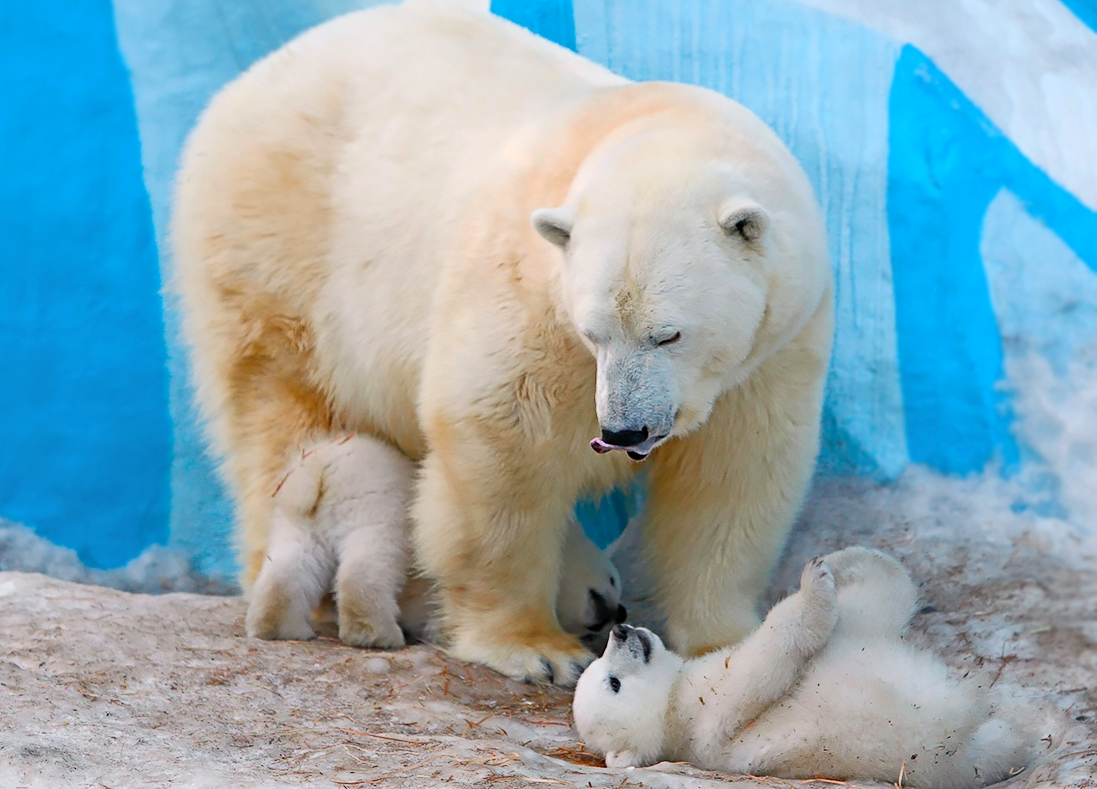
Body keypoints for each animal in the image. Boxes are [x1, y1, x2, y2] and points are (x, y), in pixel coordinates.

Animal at [177, 1, 829, 684]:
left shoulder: (775, 344)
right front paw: (536, 648)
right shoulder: (528, 291)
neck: (644, 123)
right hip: (278, 250)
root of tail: (246, 82)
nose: (624, 431)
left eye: (668, 333)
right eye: (594, 331)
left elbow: (737, 469)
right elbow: (504, 436)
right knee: (274, 400)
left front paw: (726, 641)